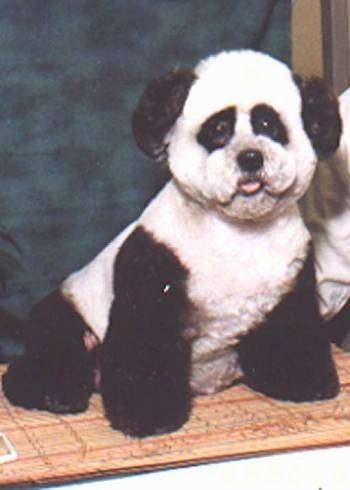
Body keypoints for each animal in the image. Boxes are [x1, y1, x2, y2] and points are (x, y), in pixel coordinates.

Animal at [2, 51, 342, 438]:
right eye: (219, 130)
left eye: (270, 126)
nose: (250, 159)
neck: (238, 228)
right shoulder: (158, 258)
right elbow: (145, 338)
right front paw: (147, 416)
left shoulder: (289, 269)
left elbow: (291, 329)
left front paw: (304, 382)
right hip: (73, 310)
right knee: (53, 347)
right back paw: (54, 393)